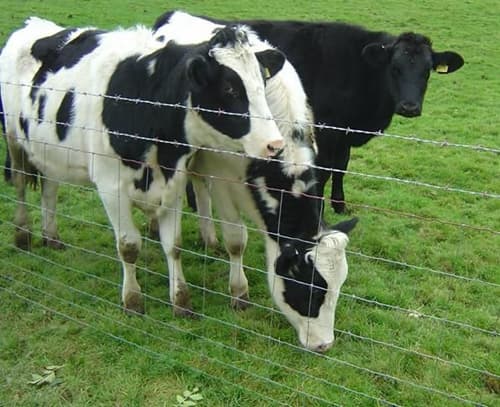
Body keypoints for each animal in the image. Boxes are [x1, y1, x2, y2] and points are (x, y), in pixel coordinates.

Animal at [0, 16, 288, 316]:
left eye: (262, 83)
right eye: (229, 89)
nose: (275, 144)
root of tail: (33, 24)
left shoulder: (174, 181)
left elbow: (173, 245)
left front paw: (181, 300)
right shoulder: (110, 187)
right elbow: (128, 246)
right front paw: (132, 300)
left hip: (49, 150)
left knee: (50, 188)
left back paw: (51, 236)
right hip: (13, 138)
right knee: (19, 184)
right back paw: (23, 235)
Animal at [154, 11, 358, 352]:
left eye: (338, 287)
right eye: (310, 289)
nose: (324, 345)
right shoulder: (223, 177)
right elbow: (237, 240)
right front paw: (239, 293)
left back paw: (209, 238)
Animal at [155, 10, 464, 214]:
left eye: (426, 71)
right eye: (395, 68)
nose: (409, 107)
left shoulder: (344, 132)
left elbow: (341, 167)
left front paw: (339, 204)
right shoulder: (326, 130)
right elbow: (325, 170)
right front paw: (319, 209)